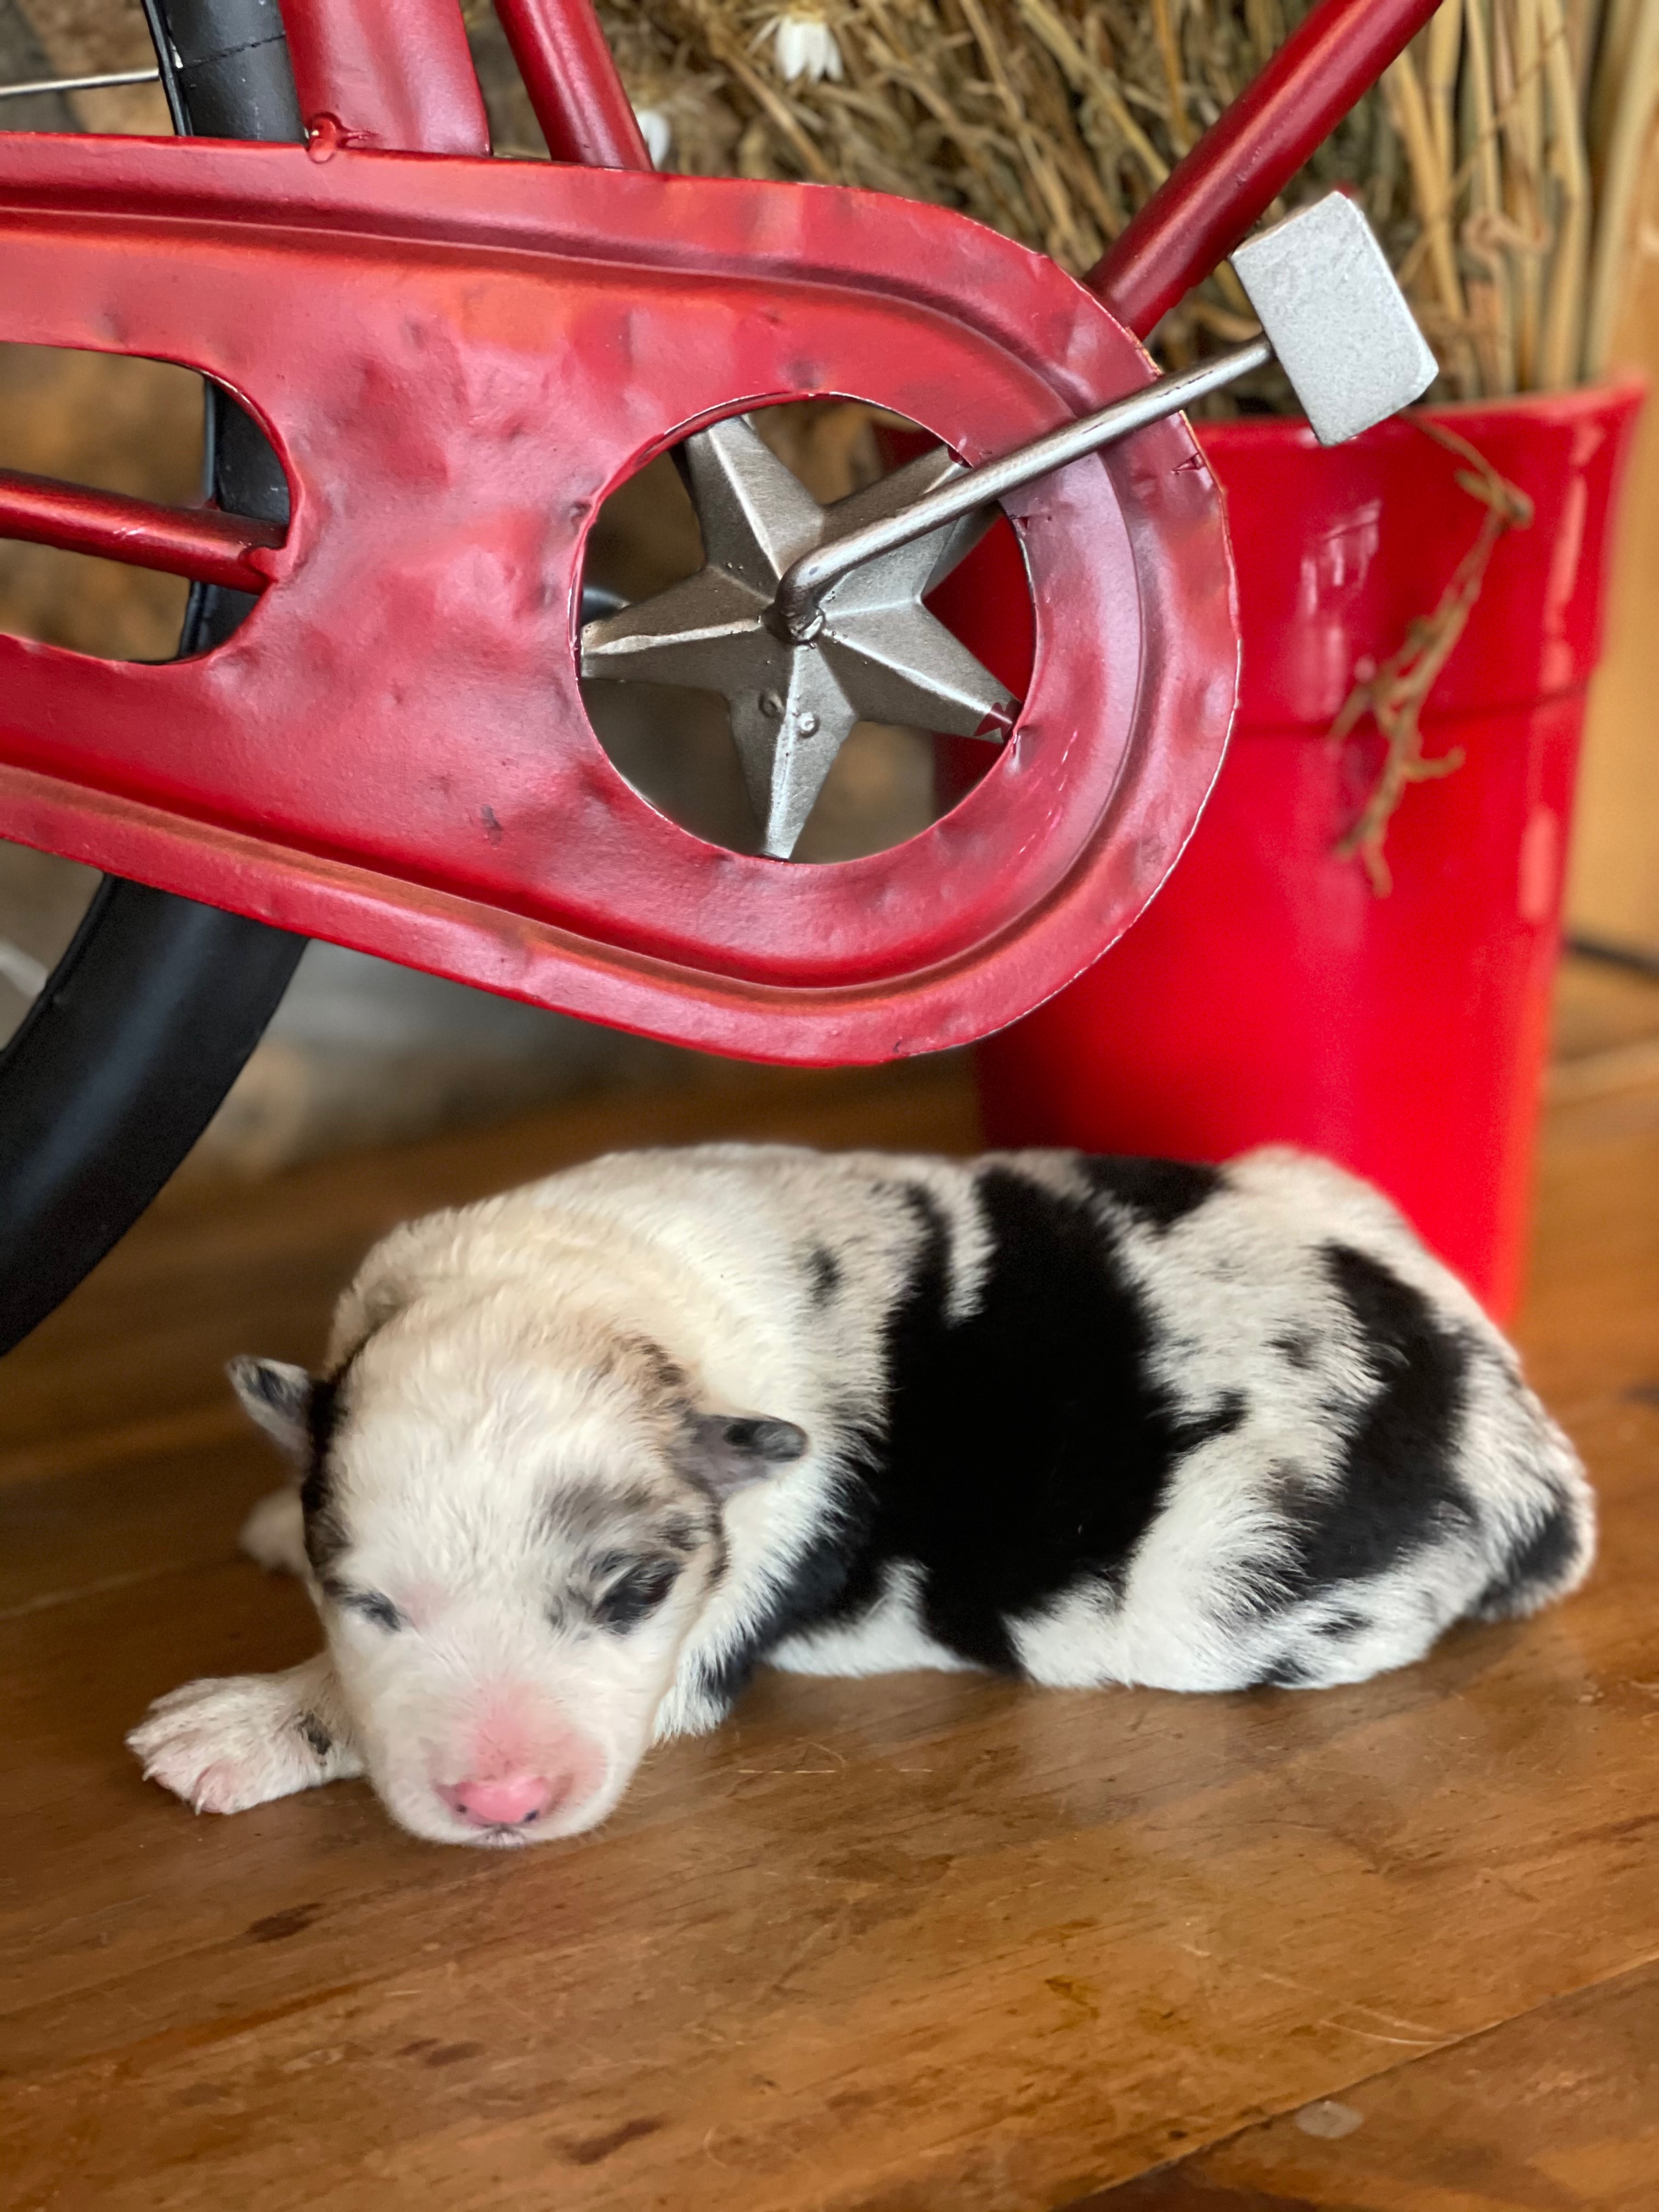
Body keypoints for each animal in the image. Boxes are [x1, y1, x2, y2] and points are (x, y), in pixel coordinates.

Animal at [129, 1150, 1601, 1840]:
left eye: (633, 1593)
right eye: (368, 1601)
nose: (504, 1805)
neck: (580, 1293)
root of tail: (1522, 1429)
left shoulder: (697, 1644)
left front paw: (241, 1724)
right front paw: (272, 1521)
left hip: (1219, 1597)